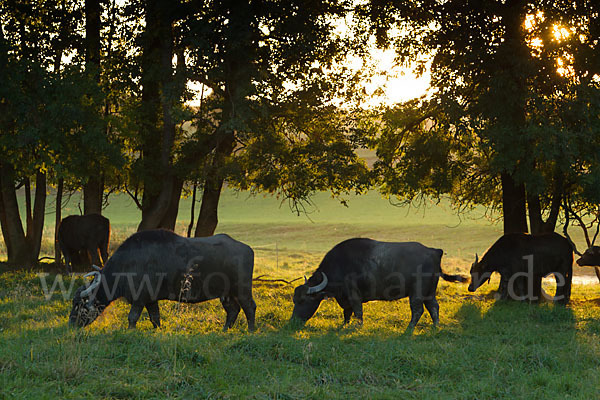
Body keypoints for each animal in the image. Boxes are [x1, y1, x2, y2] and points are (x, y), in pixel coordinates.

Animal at [69, 230, 256, 332]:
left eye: (79, 304)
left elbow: (132, 317)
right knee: (233, 310)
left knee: (249, 307)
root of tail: (247, 248)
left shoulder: (140, 299)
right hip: (226, 294)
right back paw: (224, 330)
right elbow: (155, 318)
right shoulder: (151, 300)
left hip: (242, 289)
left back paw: (251, 330)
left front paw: (129, 331)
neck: (127, 265)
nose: (71, 324)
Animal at [288, 239, 466, 330]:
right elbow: (346, 312)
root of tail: (434, 251)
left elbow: (357, 311)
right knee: (433, 307)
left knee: (418, 310)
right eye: (294, 300)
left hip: (417, 292)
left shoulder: (354, 294)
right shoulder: (344, 297)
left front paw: (357, 327)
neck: (340, 265)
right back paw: (435, 327)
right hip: (430, 292)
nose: (293, 321)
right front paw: (344, 325)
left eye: (303, 300)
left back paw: (409, 329)